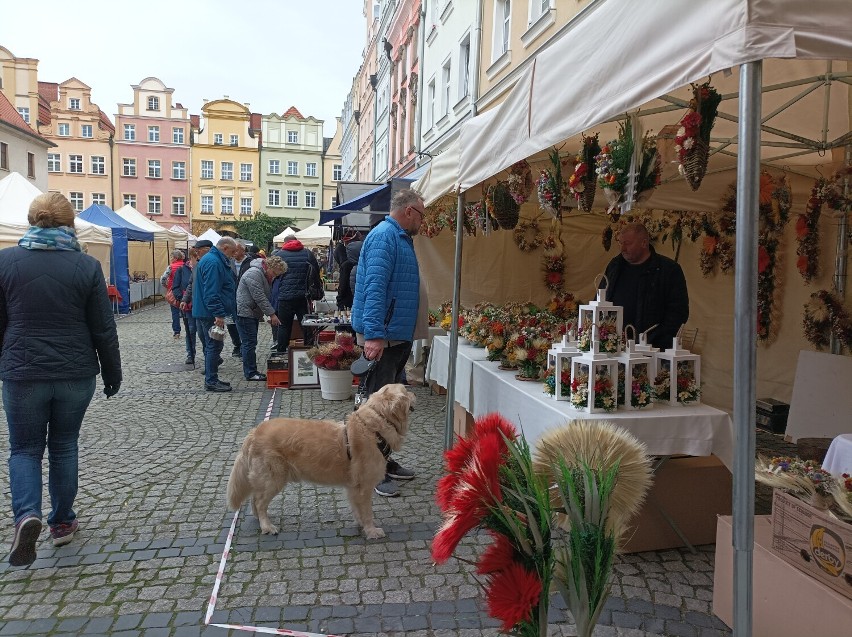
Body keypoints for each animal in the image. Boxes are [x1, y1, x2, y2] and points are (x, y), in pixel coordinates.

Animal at [225, 382, 414, 536]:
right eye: (406, 390)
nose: (414, 394)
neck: (374, 427)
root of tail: (254, 431)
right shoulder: (364, 486)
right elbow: (367, 512)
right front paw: (371, 530)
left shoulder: (353, 487)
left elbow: (357, 509)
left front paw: (361, 524)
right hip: (274, 478)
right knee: (259, 501)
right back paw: (266, 526)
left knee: (254, 499)